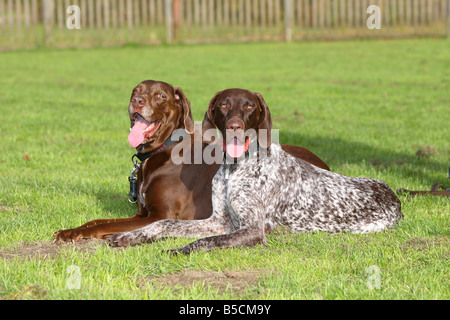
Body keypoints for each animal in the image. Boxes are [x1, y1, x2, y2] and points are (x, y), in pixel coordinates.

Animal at [53, 80, 330, 242]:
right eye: (135, 91)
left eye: (161, 96)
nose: (137, 102)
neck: (161, 151)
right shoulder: (141, 212)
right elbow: (98, 220)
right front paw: (71, 229)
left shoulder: (158, 215)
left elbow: (102, 226)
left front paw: (77, 234)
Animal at [107, 88, 402, 252]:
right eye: (224, 104)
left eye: (249, 105)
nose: (235, 126)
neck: (235, 167)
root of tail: (393, 195)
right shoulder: (219, 221)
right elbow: (163, 224)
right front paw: (129, 236)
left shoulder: (250, 230)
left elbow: (206, 242)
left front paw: (179, 249)